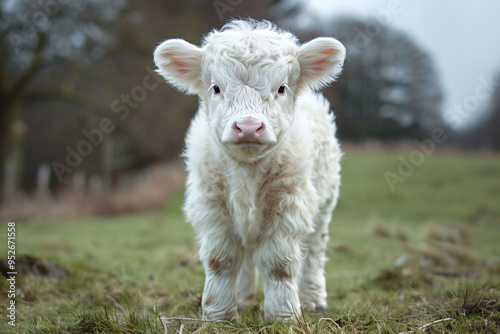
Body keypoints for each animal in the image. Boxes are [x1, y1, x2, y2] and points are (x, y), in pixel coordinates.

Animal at [154, 18, 346, 324]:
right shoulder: (211, 206)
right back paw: (243, 299)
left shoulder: (290, 203)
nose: (247, 127)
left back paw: (313, 299)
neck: (247, 172)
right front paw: (219, 316)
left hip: (324, 205)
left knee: (314, 251)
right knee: (245, 256)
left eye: (281, 88)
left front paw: (283, 315)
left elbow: (278, 263)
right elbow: (221, 261)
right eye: (216, 87)